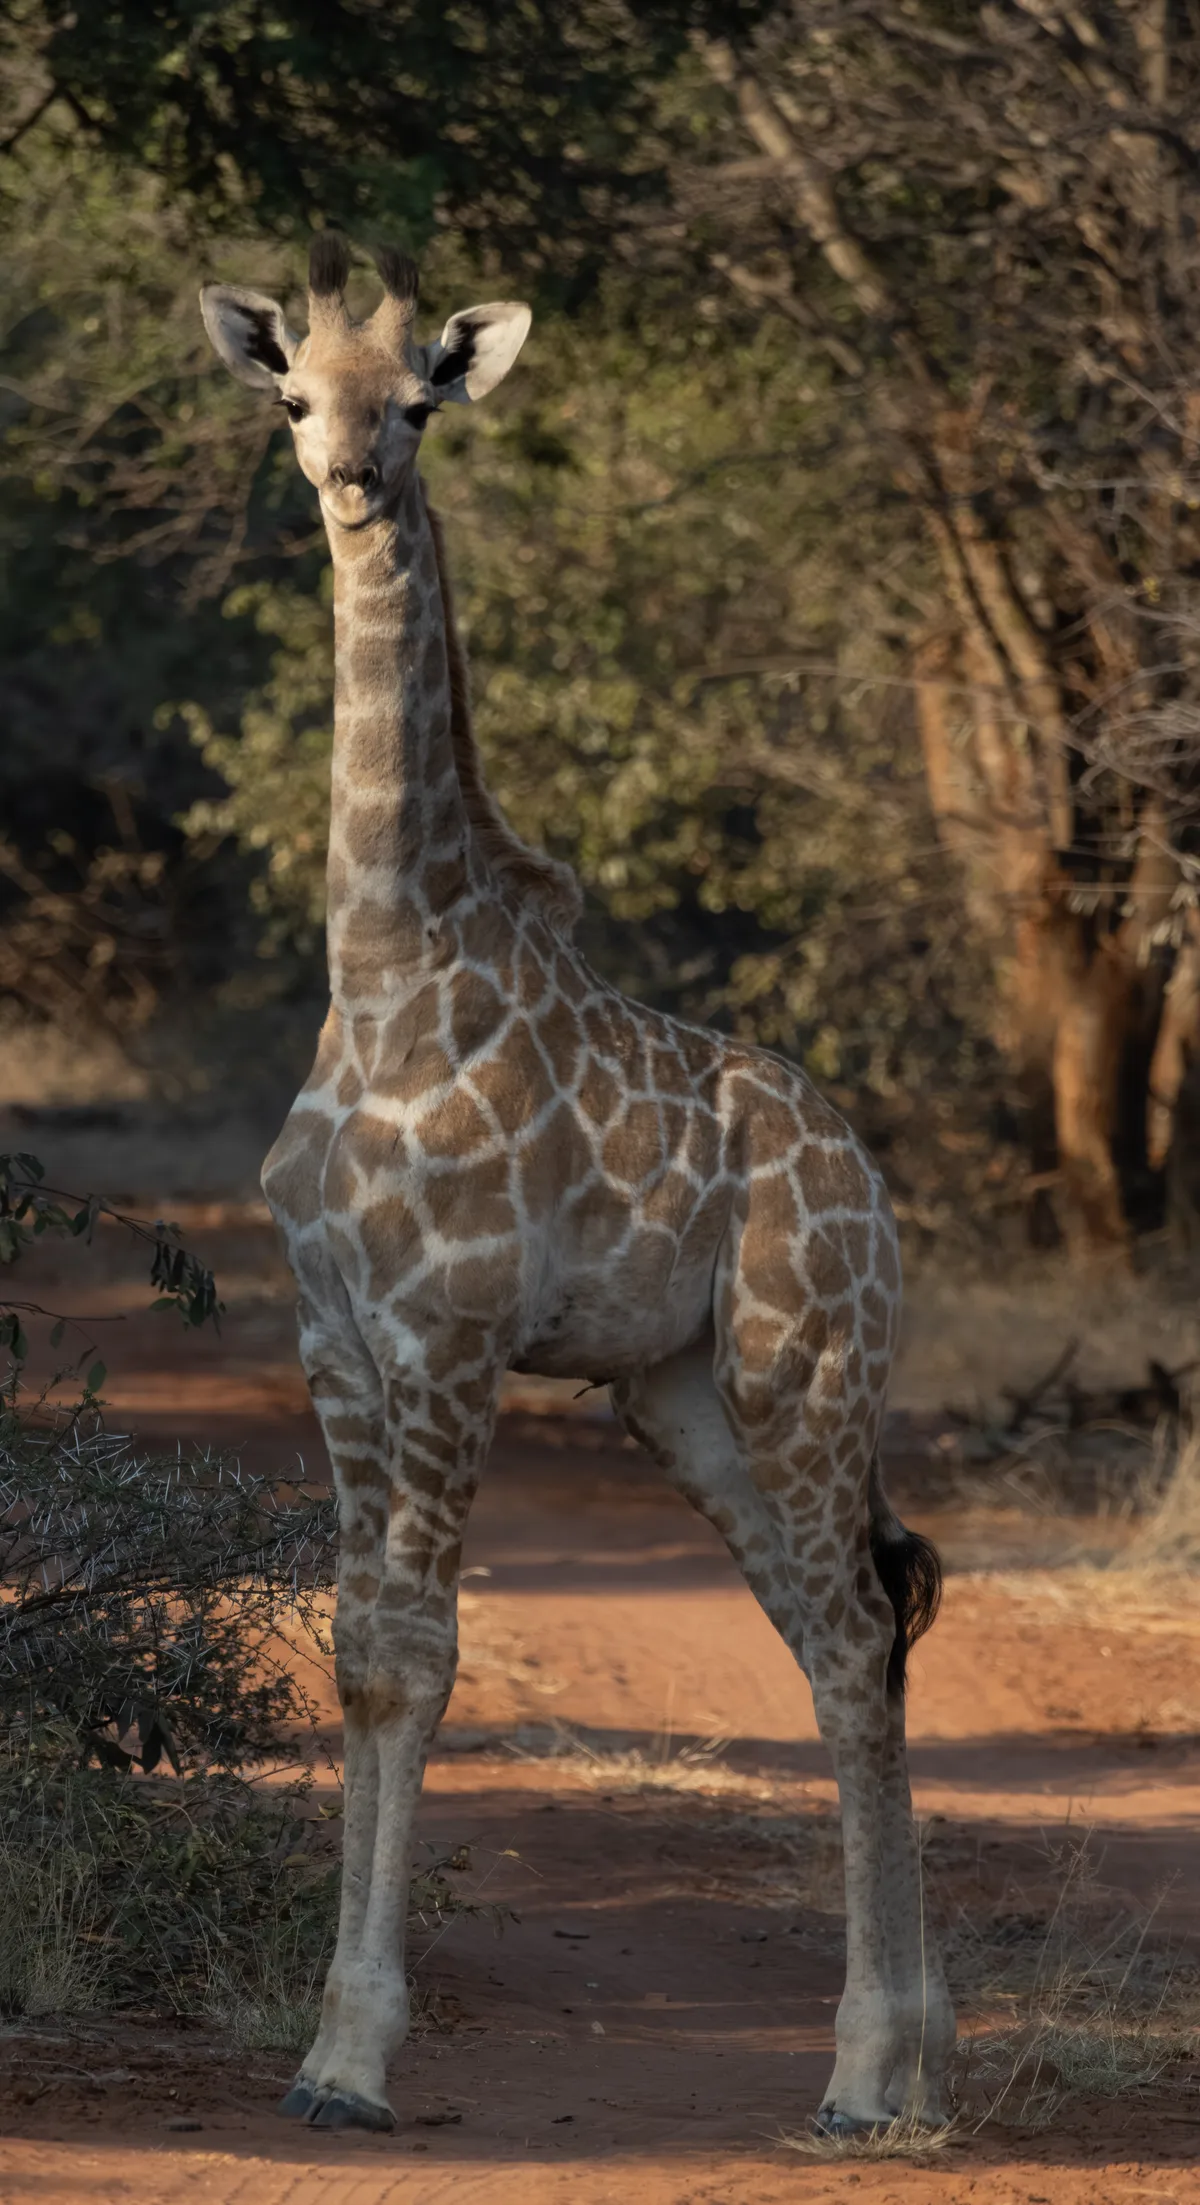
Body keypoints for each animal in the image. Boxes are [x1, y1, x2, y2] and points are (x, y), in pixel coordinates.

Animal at [200, 235, 955, 2138]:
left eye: (417, 402)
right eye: (292, 394)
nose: (348, 476)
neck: (384, 967)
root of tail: (871, 1181)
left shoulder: (452, 1340)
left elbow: (420, 1655)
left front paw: (358, 2058)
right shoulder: (335, 1341)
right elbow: (355, 1648)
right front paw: (322, 2051)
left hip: (805, 1365)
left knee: (855, 1634)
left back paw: (861, 2079)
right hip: (676, 1394)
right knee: (840, 1633)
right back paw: (919, 2063)